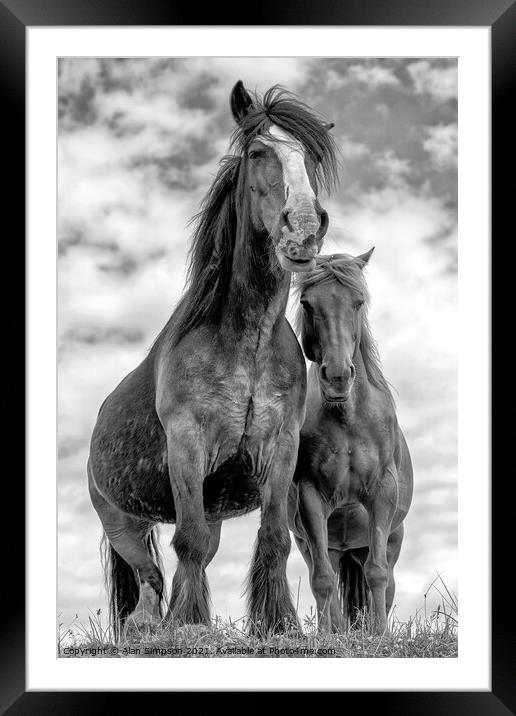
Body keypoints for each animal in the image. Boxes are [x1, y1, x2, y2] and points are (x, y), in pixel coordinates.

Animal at [87, 82, 338, 636]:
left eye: (310, 158)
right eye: (258, 152)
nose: (304, 229)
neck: (247, 345)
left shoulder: (280, 448)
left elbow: (273, 539)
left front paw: (277, 623)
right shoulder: (187, 444)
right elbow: (189, 543)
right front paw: (190, 624)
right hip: (120, 521)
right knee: (149, 576)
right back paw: (149, 628)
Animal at [288, 252, 414, 632]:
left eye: (358, 302)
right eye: (307, 303)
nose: (338, 376)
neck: (348, 419)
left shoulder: (382, 494)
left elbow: (377, 575)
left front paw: (380, 636)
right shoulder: (311, 497)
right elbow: (322, 581)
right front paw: (328, 638)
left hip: (388, 539)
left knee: (384, 581)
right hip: (319, 543)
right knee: (326, 578)